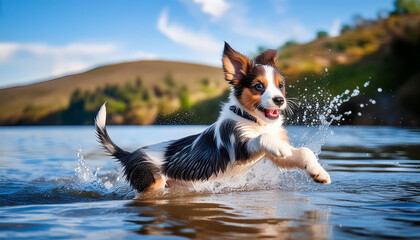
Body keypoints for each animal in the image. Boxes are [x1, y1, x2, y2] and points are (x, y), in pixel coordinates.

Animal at [95, 41, 332, 195]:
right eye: (258, 86)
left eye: (280, 86)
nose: (279, 100)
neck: (254, 121)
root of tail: (130, 155)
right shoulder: (239, 146)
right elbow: (263, 139)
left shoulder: (274, 156)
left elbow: (303, 152)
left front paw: (319, 173)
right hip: (152, 184)